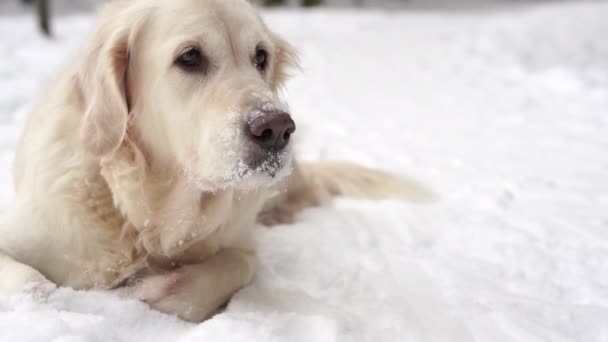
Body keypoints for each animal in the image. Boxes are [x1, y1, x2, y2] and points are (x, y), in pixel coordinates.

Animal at [0, 0, 432, 322]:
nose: (277, 129)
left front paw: (156, 291)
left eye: (261, 56)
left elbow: (236, 264)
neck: (150, 213)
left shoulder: (241, 242)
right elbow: (32, 283)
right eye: (190, 56)